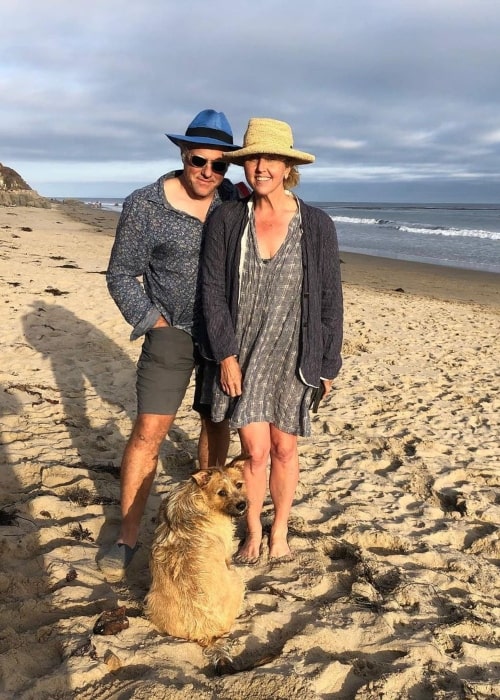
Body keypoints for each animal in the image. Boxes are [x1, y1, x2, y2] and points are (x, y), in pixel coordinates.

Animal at [144, 454, 247, 660]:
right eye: (221, 492)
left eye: (239, 484)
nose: (242, 505)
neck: (198, 496)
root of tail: (206, 633)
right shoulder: (226, 550)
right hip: (236, 580)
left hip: (151, 601)